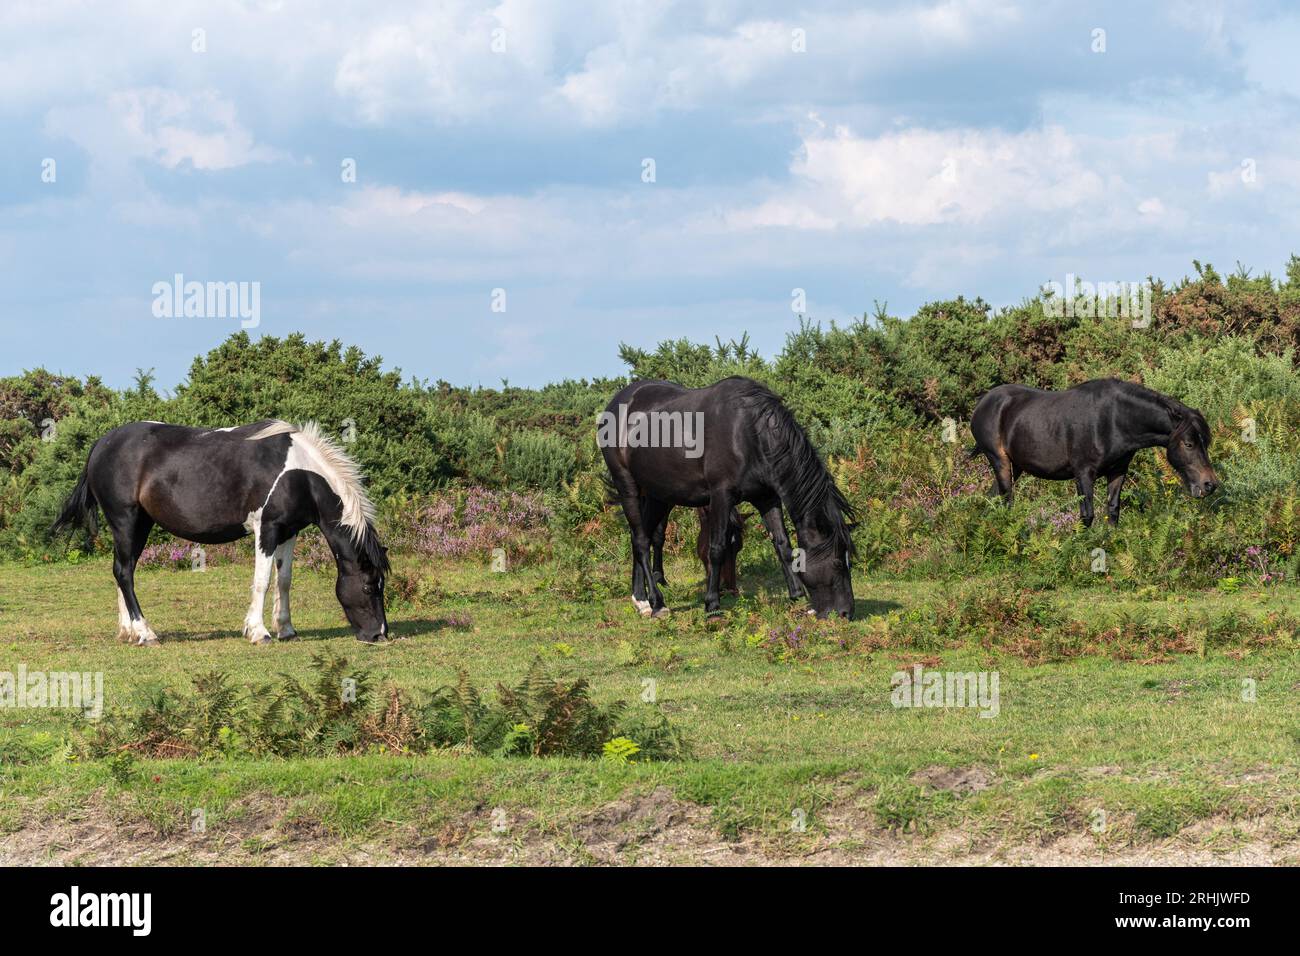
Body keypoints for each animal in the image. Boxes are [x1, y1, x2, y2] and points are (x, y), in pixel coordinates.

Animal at [51, 420, 390, 645]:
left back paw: (128, 631)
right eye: (369, 586)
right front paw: (259, 632)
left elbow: (284, 580)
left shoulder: (288, 532)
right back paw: (146, 633)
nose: (379, 635)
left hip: (139, 524)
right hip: (126, 520)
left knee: (123, 570)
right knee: (123, 572)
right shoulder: (266, 530)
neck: (299, 473)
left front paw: (286, 629)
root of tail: (102, 444)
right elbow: (262, 581)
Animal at [599, 376, 855, 618]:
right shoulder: (721, 496)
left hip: (658, 496)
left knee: (640, 536)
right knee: (642, 541)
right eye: (837, 562)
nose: (846, 613)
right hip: (627, 487)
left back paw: (640, 598)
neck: (749, 433)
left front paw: (797, 595)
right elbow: (717, 547)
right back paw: (656, 603)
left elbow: (782, 544)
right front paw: (712, 604)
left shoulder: (767, 498)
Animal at [969, 378, 1219, 526]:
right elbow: (1087, 516)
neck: (1114, 419)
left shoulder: (1118, 471)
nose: (1210, 485)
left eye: (1205, 442)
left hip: (1016, 466)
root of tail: (983, 402)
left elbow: (1113, 510)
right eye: (1189, 444)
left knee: (992, 499)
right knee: (1006, 501)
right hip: (1000, 461)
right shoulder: (1083, 473)